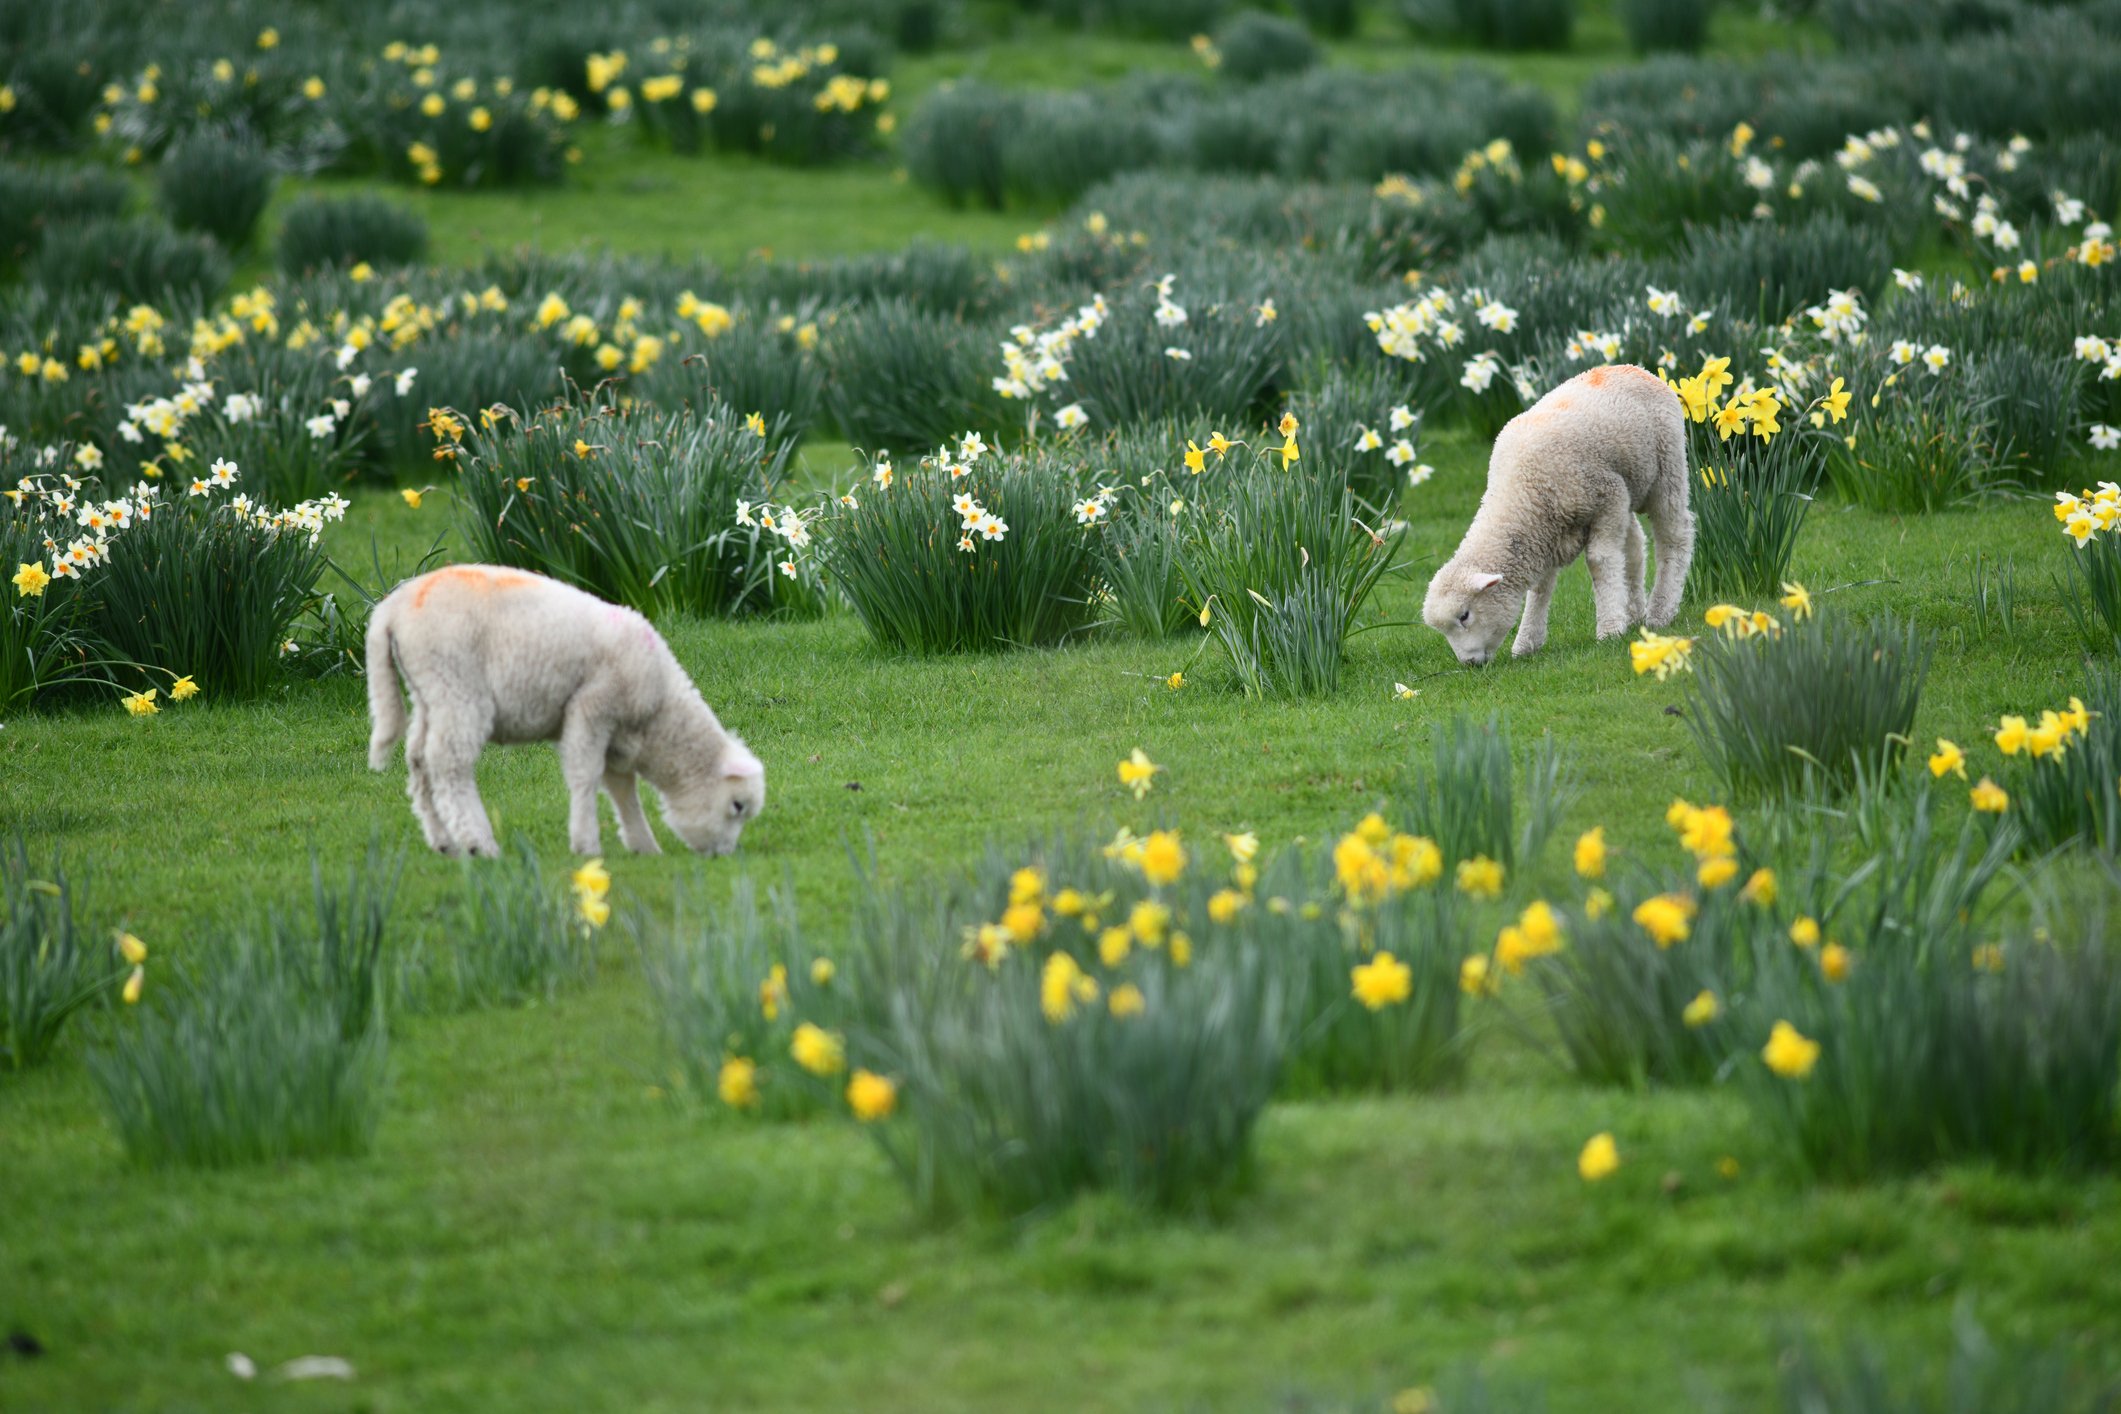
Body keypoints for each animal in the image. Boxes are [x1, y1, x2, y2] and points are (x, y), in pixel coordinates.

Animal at [366, 565, 764, 858]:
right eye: (738, 806)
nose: (723, 856)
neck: (658, 714)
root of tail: (392, 609)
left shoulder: (616, 736)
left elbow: (622, 789)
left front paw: (643, 846)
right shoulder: (592, 708)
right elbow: (585, 776)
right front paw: (587, 845)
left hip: (428, 695)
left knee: (419, 761)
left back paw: (443, 841)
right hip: (457, 687)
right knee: (448, 766)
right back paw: (480, 843)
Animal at [1422, 363, 1692, 665]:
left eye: (1464, 616)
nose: (1469, 664)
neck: (1521, 493)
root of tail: (1637, 369)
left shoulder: (1607, 496)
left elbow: (1600, 561)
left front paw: (1610, 629)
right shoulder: (1547, 533)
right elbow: (1541, 587)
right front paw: (1527, 642)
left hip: (1666, 468)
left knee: (1674, 535)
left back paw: (1660, 611)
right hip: (1630, 483)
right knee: (1634, 548)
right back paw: (1635, 612)